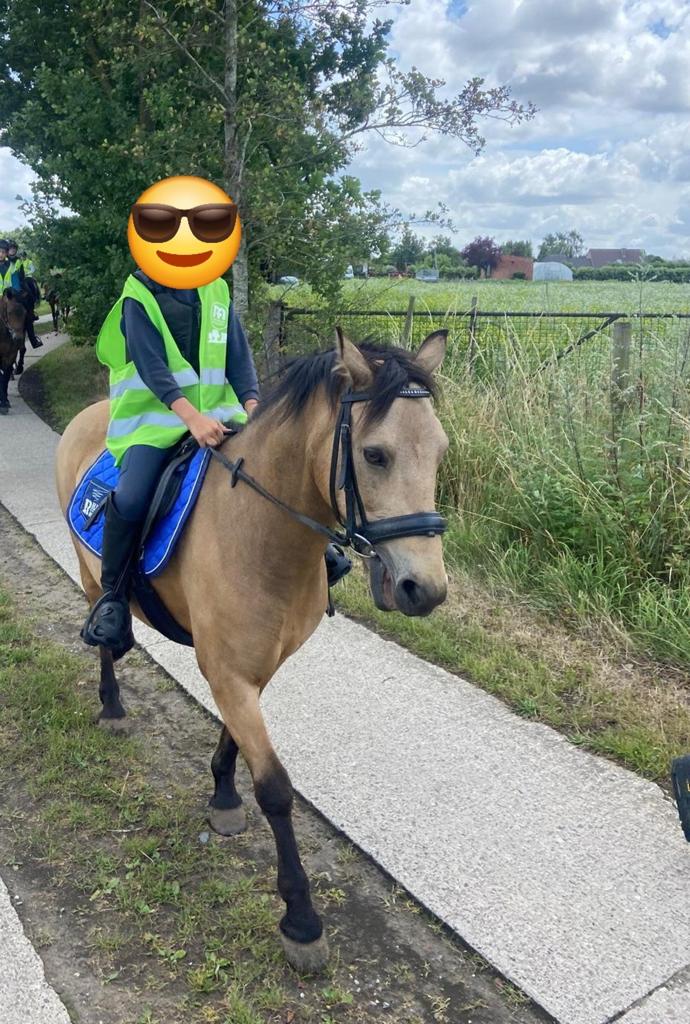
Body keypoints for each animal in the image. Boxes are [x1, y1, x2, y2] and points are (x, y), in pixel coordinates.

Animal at [55, 329, 449, 970]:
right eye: (375, 455)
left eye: (439, 452)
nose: (426, 589)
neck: (261, 533)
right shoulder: (228, 671)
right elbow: (277, 789)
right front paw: (302, 920)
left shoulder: (251, 668)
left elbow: (235, 742)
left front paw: (222, 793)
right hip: (91, 574)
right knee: (104, 641)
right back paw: (111, 703)